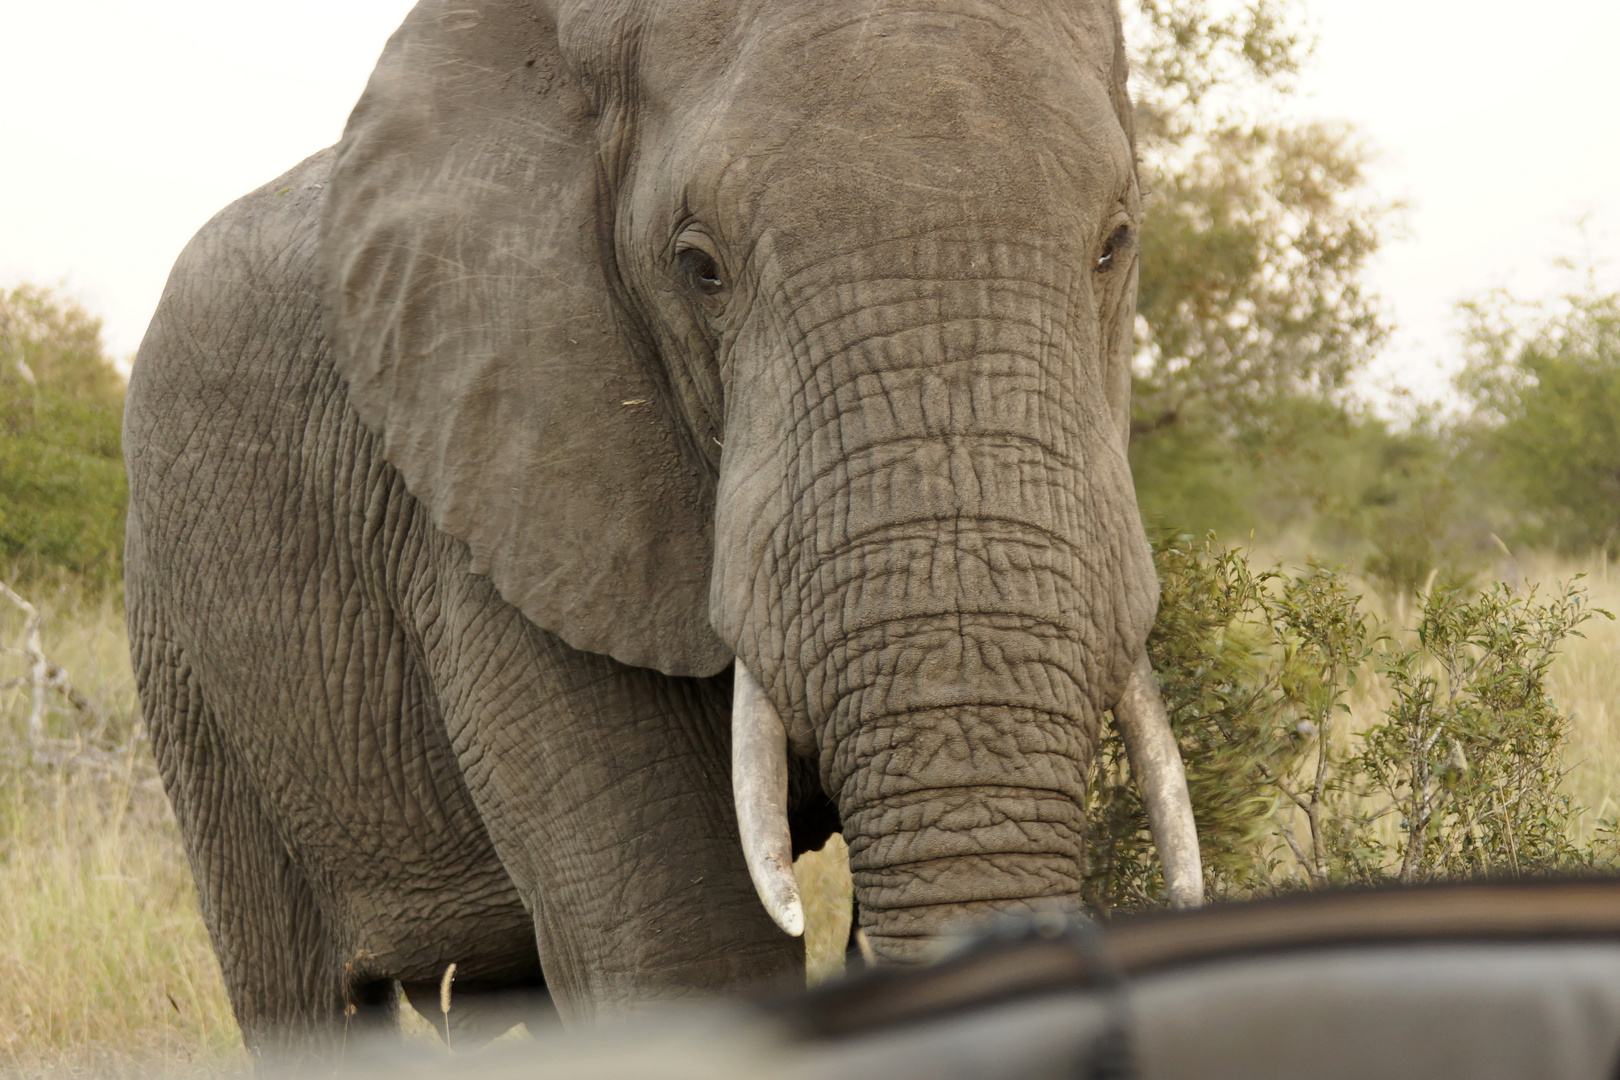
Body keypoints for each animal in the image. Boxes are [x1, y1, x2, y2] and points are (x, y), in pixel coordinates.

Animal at [126, 0, 1205, 1062]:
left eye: (1114, 243)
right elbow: (686, 959)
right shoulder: (504, 496)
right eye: (700, 270)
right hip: (186, 662)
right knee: (302, 991)